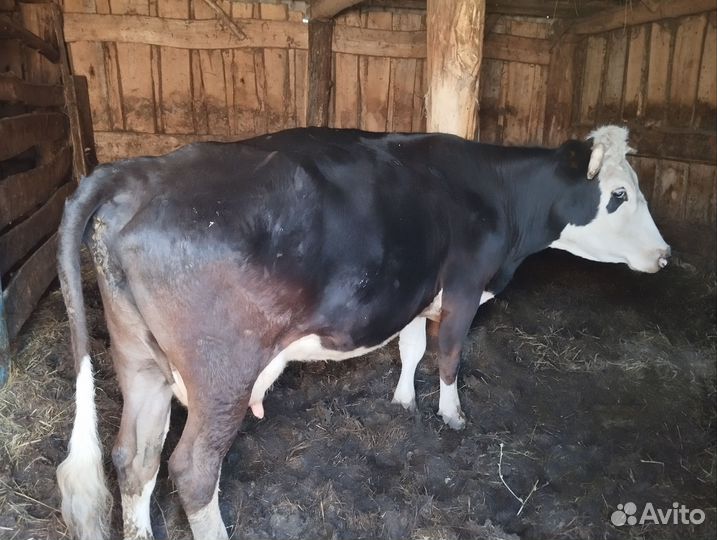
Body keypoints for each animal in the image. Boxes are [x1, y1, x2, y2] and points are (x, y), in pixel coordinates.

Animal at [56, 125, 670, 540]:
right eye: (619, 194)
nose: (664, 256)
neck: (493, 192)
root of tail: (137, 172)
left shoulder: (417, 293)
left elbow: (412, 347)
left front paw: (403, 402)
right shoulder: (465, 285)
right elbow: (450, 353)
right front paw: (452, 416)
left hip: (139, 360)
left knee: (133, 458)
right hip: (221, 373)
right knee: (191, 469)